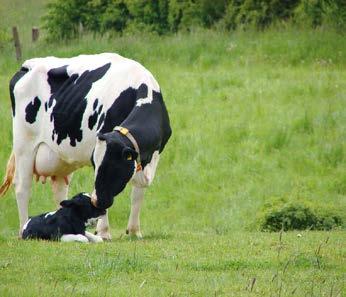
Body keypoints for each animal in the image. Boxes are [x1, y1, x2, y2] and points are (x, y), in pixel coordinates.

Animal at [0, 52, 172, 238]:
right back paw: (23, 229)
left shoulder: (147, 157)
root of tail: (27, 66)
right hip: (24, 145)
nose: (97, 201)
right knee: (22, 187)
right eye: (95, 165)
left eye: (112, 165)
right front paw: (103, 232)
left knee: (60, 191)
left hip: (60, 159)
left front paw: (134, 232)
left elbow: (138, 193)